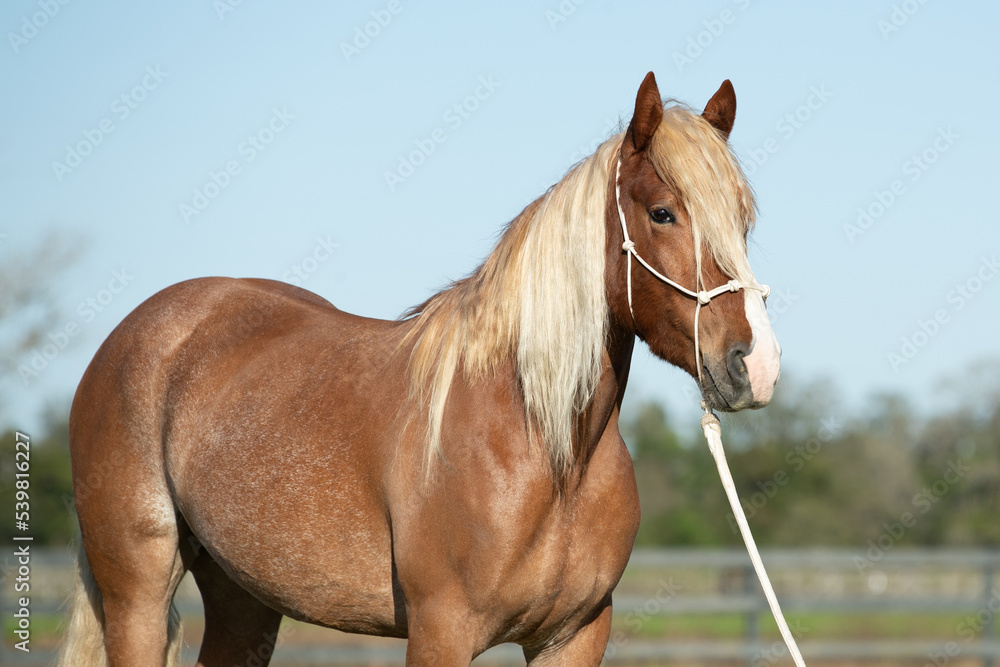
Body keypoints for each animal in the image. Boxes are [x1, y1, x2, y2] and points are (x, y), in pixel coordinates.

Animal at [60, 71, 780, 666]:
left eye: (745, 223)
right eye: (662, 213)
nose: (758, 364)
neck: (545, 451)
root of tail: (141, 331)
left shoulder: (572, 636)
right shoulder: (442, 629)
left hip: (245, 597)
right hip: (139, 594)